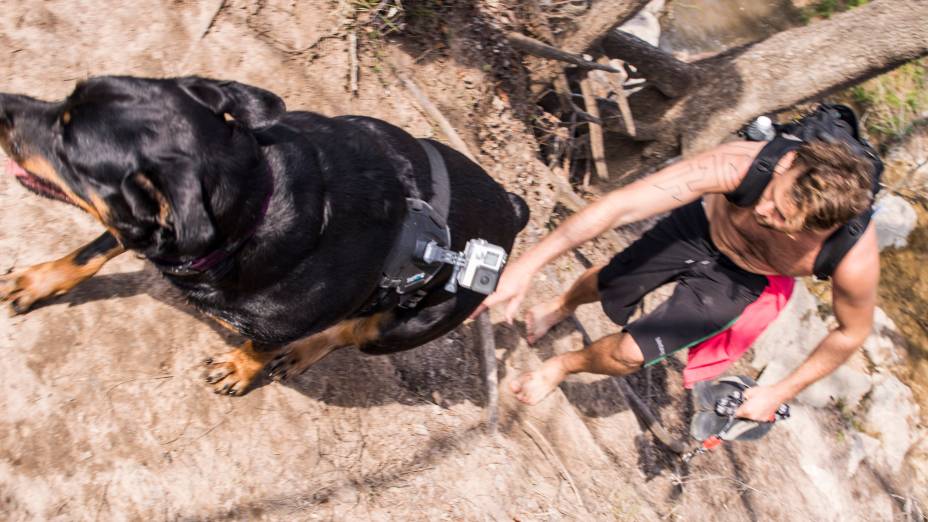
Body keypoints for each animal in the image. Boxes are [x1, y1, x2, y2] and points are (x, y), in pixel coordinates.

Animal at [0, 75, 528, 394]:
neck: (258, 200)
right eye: (67, 99)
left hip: (406, 327)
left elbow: (262, 345)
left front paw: (241, 367)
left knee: (352, 331)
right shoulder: (138, 225)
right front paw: (39, 280)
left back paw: (301, 354)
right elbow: (90, 252)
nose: (3, 102)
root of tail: (514, 208)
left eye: (67, 147)